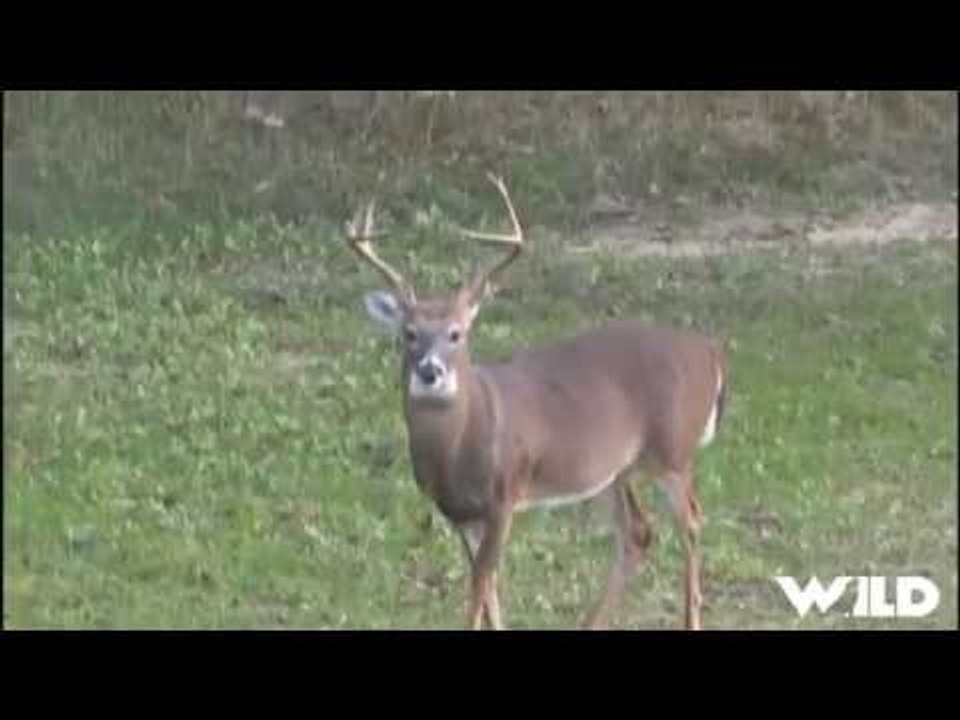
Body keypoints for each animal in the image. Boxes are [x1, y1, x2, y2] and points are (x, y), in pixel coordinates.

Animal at [343, 173, 727, 630]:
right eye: (409, 333)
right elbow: (489, 589)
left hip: (672, 451)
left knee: (692, 521)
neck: (460, 446)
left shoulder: (505, 494)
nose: (430, 371)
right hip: (614, 471)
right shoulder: (460, 514)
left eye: (456, 334)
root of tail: (710, 352)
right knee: (638, 532)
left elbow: (479, 586)